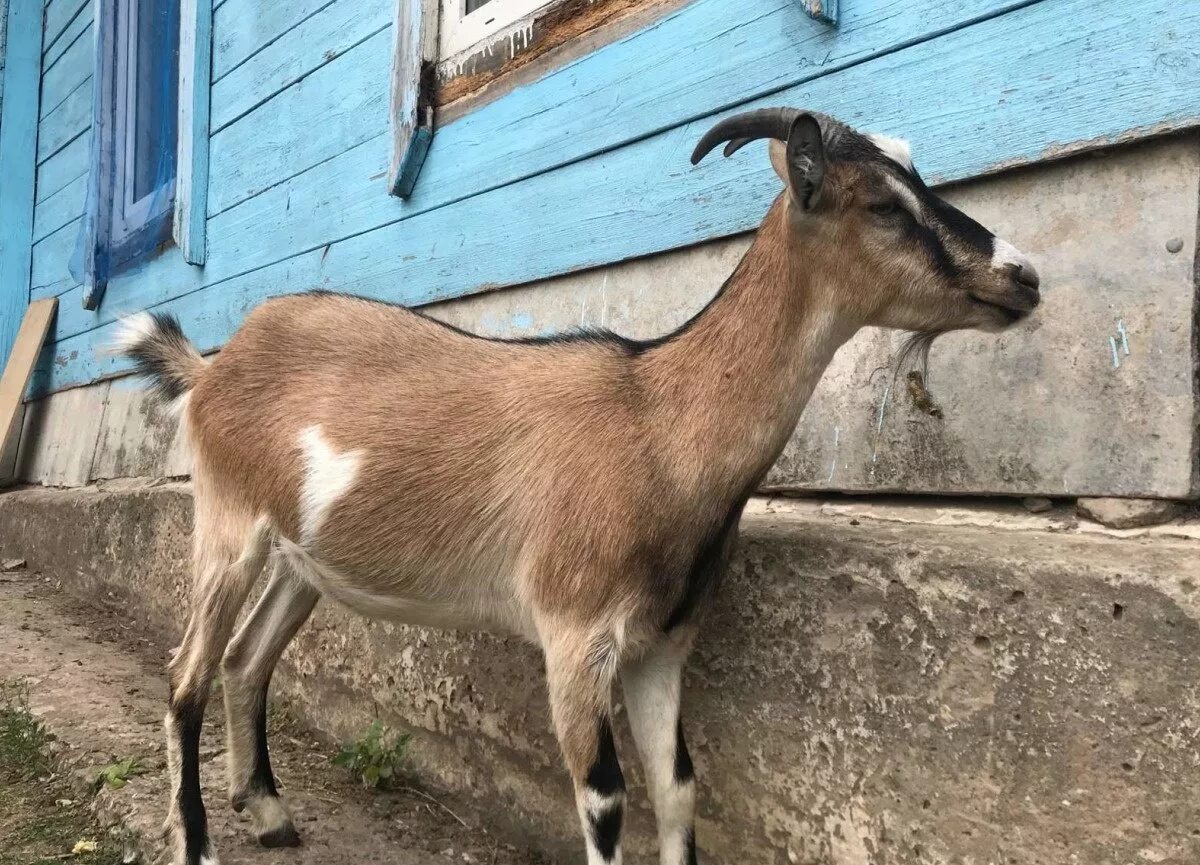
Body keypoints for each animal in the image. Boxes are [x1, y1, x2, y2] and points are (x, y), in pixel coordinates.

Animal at [117, 107, 1046, 863]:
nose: (1025, 275)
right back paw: (196, 841)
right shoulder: (573, 634)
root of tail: (214, 365)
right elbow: (605, 798)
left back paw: (271, 813)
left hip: (301, 557)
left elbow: (678, 788)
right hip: (227, 523)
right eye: (884, 206)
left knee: (246, 658)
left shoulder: (663, 644)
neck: (657, 420)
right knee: (186, 673)